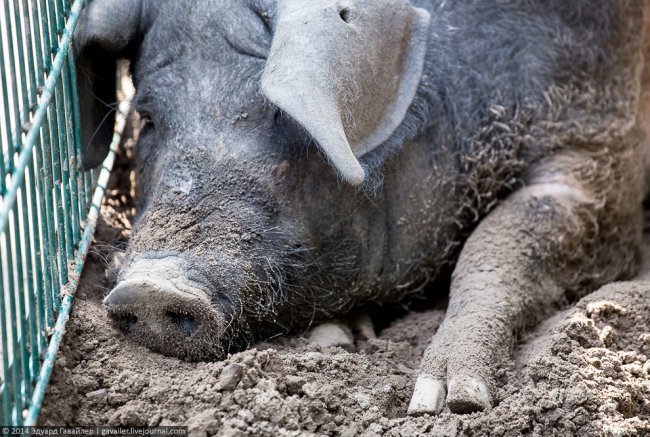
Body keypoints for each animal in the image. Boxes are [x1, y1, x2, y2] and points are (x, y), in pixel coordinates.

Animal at [73, 0, 644, 416]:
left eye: (280, 115)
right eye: (148, 118)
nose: (150, 287)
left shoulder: (601, 152)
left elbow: (499, 242)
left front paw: (442, 400)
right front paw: (336, 339)